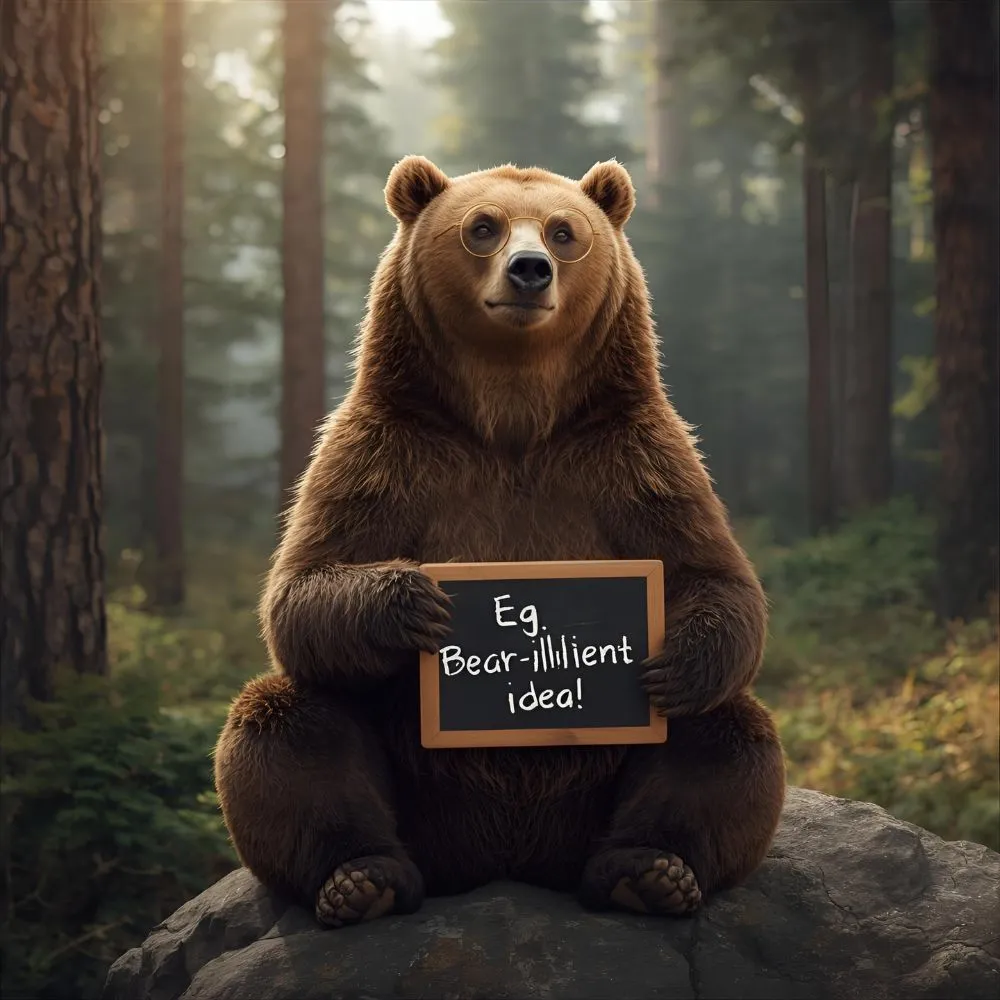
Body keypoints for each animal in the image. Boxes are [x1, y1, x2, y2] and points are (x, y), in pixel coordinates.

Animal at [214, 154, 786, 929]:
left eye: (564, 230)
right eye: (482, 226)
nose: (529, 270)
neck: (512, 415)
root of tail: (506, 863)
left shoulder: (632, 457)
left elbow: (714, 576)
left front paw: (671, 663)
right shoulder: (386, 452)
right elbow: (302, 590)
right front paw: (416, 601)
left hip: (585, 796)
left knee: (729, 734)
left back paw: (650, 873)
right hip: (425, 791)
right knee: (285, 723)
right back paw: (362, 880)